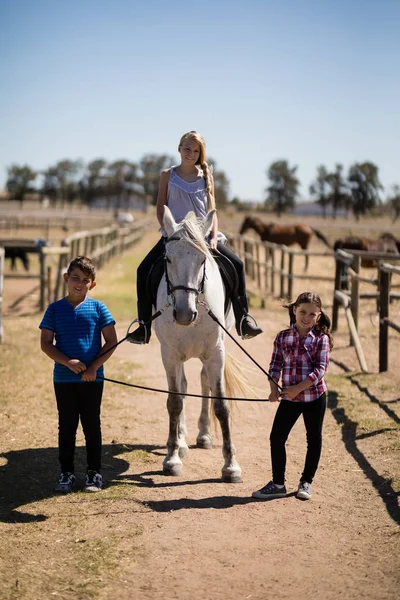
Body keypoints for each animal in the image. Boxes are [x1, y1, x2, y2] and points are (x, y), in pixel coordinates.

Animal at [153, 206, 247, 482]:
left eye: (203, 260)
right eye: (168, 259)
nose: (185, 314)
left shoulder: (216, 353)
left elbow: (221, 404)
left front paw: (231, 465)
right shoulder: (170, 354)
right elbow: (175, 402)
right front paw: (172, 458)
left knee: (204, 382)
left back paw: (203, 436)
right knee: (183, 387)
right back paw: (182, 442)